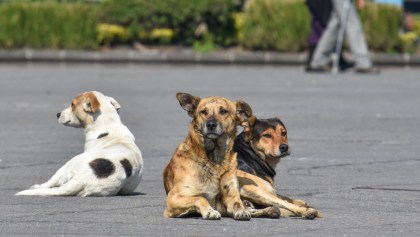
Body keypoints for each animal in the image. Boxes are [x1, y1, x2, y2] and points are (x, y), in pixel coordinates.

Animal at [15, 90, 144, 196]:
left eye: (72, 104)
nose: (57, 114)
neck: (109, 124)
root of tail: (83, 178)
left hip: (67, 165)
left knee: (51, 182)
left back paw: (37, 186)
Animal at [162, 92, 262, 220]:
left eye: (224, 111)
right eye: (203, 112)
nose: (211, 125)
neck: (215, 160)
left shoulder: (231, 195)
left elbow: (237, 203)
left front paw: (242, 210)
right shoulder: (173, 198)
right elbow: (200, 197)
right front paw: (209, 211)